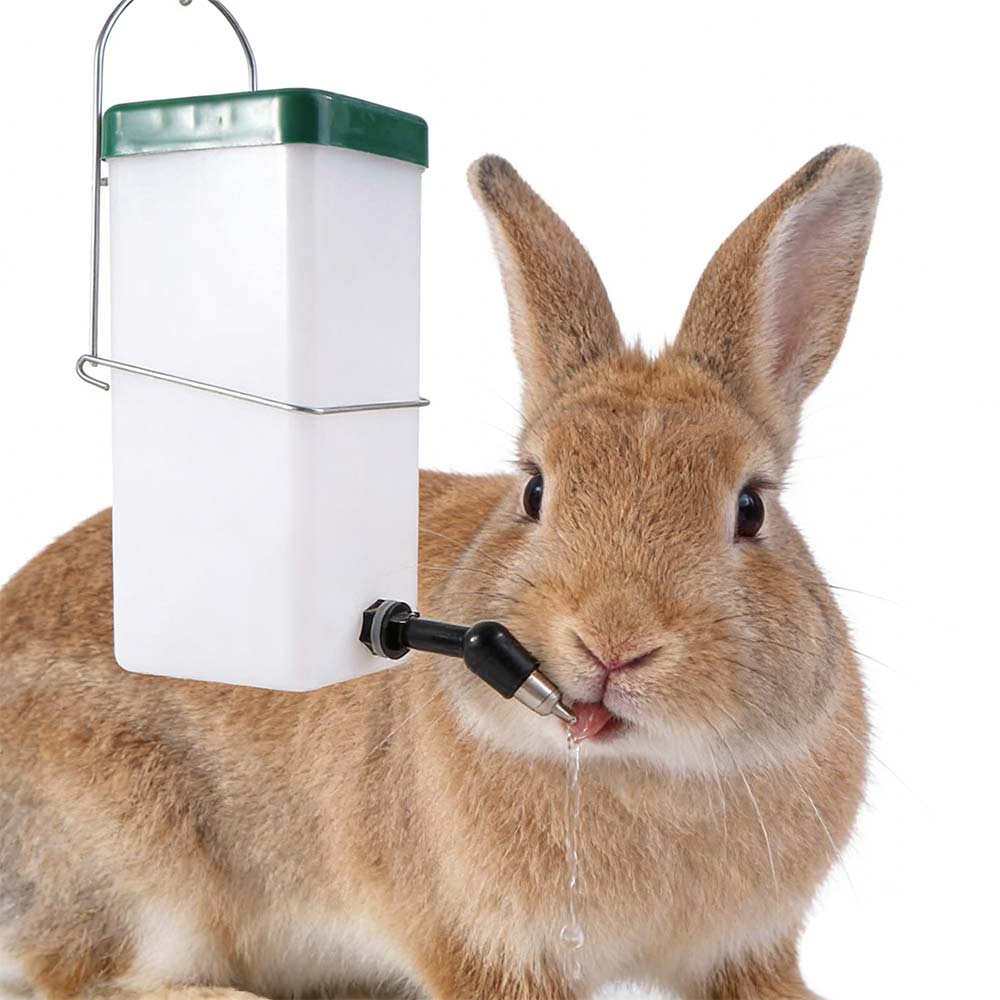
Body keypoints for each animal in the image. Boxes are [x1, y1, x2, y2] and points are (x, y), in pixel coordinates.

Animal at [0, 144, 880, 1000]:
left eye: (750, 508)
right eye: (533, 491)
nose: (613, 643)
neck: (642, 767)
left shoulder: (746, 948)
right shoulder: (487, 948)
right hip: (138, 859)